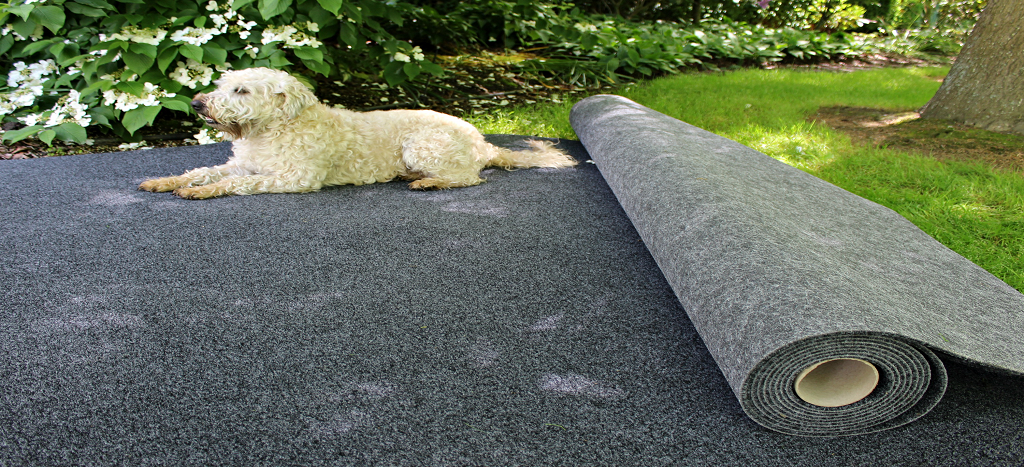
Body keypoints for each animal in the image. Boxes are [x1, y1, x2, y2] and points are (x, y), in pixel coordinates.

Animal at [138, 67, 577, 198]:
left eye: (242, 90)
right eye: (223, 83)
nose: (197, 104)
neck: (273, 129)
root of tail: (483, 143)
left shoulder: (293, 178)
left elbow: (233, 184)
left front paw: (202, 191)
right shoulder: (245, 165)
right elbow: (203, 172)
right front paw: (166, 180)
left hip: (422, 145)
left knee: (468, 178)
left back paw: (429, 183)